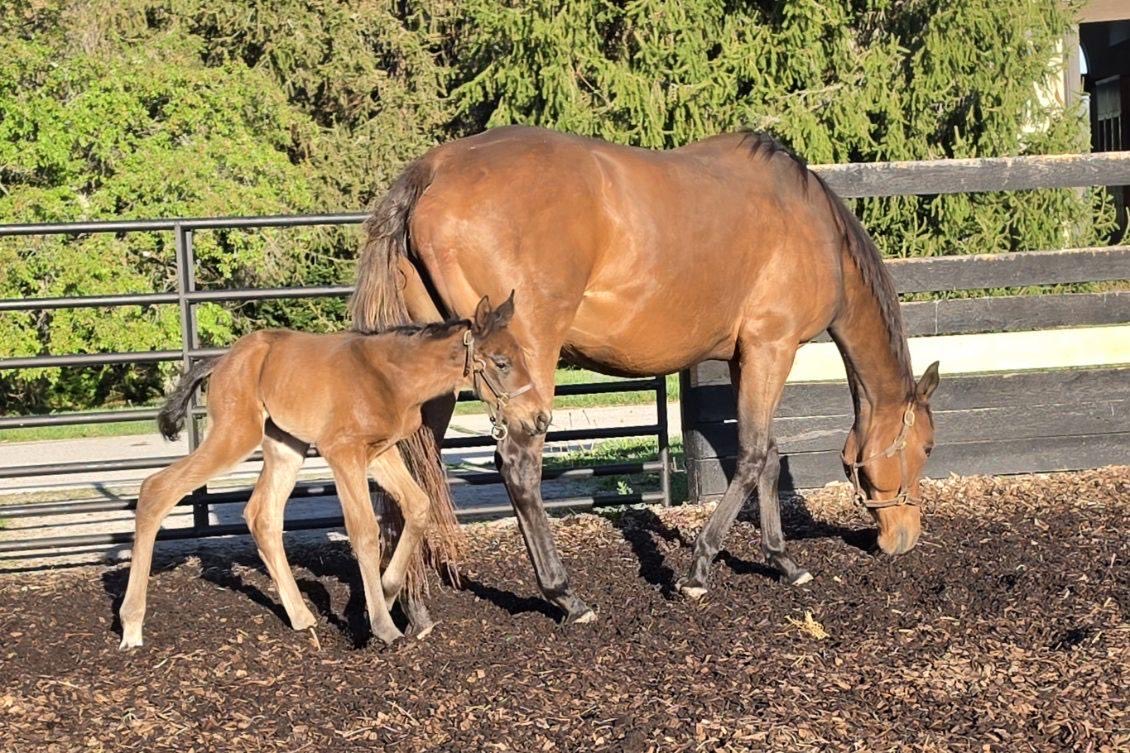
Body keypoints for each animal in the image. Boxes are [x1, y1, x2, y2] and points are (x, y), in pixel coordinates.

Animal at [118, 293, 546, 648]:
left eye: (525, 357)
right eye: (502, 363)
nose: (540, 418)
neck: (391, 377)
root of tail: (224, 360)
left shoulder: (380, 452)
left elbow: (418, 506)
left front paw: (385, 593)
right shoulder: (343, 453)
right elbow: (364, 530)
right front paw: (383, 626)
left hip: (285, 446)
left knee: (262, 516)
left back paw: (301, 616)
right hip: (235, 433)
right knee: (157, 488)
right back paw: (131, 626)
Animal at [351, 125, 940, 626]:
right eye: (928, 447)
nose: (905, 536)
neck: (813, 224)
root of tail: (435, 169)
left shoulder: (746, 356)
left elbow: (769, 457)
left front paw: (782, 561)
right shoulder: (772, 347)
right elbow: (752, 456)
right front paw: (698, 572)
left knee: (409, 466)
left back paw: (413, 604)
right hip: (521, 363)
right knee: (518, 465)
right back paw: (565, 596)